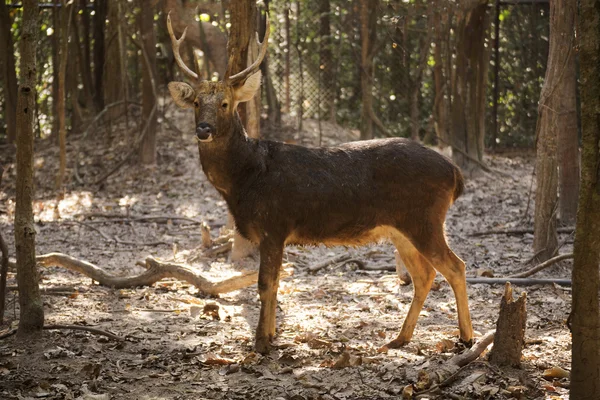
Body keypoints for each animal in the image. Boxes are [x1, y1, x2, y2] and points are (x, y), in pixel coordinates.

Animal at [165, 12, 474, 354]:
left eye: (224, 103)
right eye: (196, 103)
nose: (204, 129)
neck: (244, 178)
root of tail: (454, 173)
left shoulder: (275, 224)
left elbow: (265, 283)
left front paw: (260, 343)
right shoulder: (273, 232)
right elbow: (276, 282)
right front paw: (271, 335)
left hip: (425, 219)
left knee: (456, 266)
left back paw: (466, 337)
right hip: (401, 228)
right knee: (425, 274)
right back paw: (399, 338)